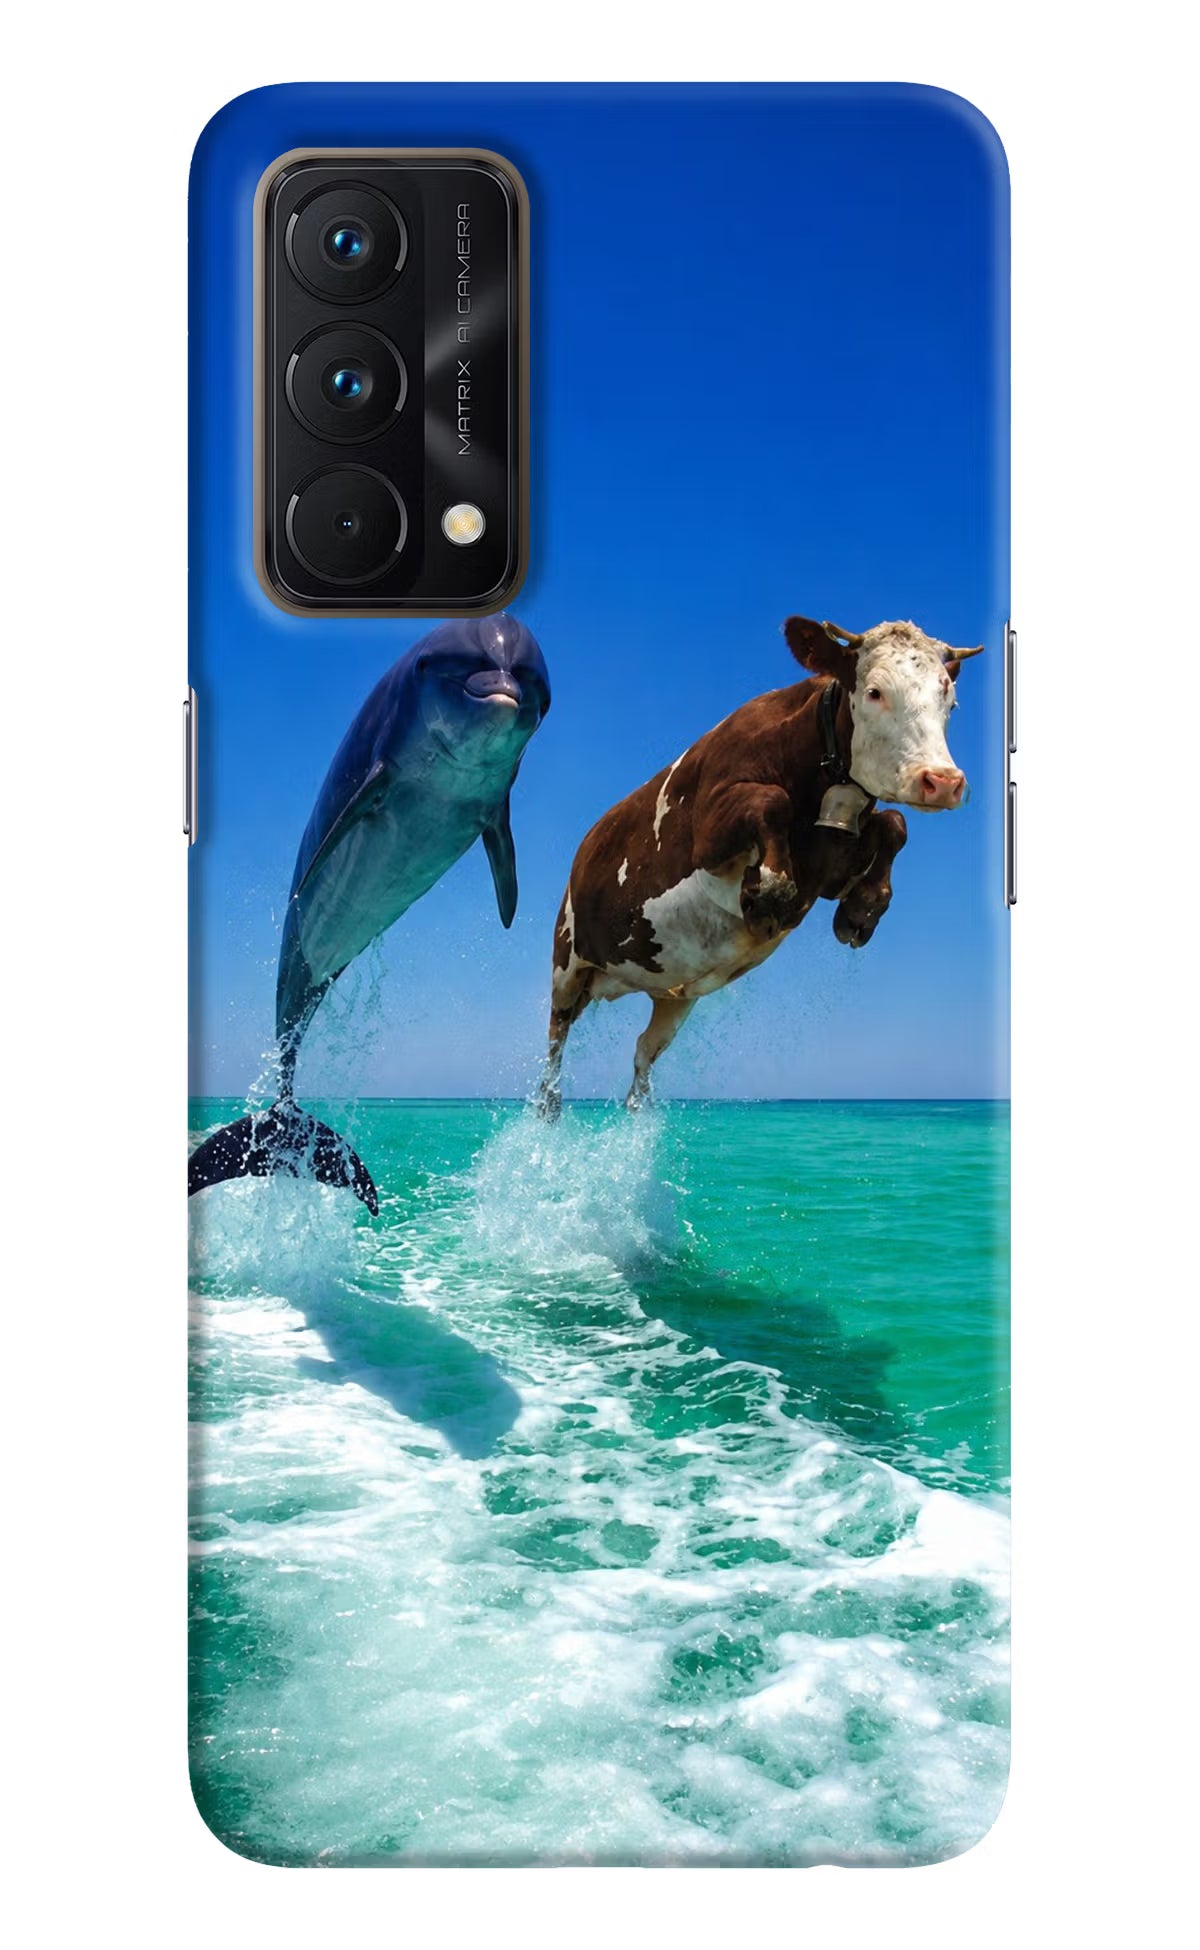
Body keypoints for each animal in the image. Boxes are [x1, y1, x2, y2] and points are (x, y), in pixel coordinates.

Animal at [536, 615, 983, 1117]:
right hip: (567, 962)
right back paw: (548, 1106)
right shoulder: (709, 833)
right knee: (554, 1042)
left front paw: (862, 909)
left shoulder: (829, 867)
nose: (942, 782)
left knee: (643, 1053)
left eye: (950, 699)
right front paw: (768, 893)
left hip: (673, 995)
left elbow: (894, 823)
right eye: (874, 691)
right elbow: (772, 801)